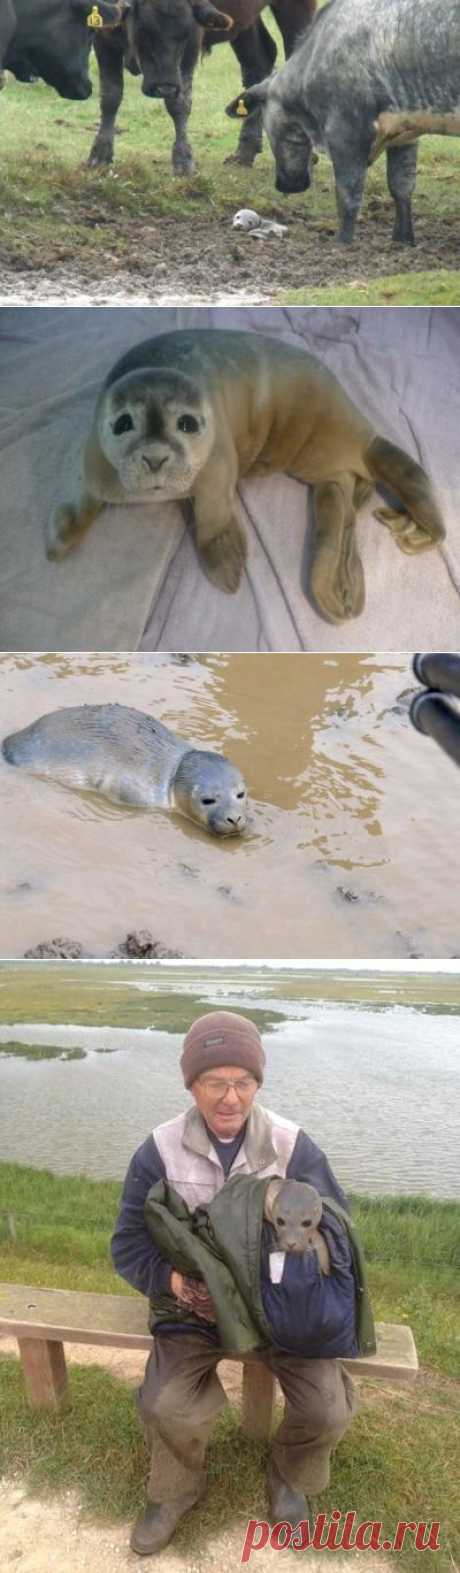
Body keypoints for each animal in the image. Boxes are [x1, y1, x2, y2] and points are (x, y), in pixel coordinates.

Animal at [88, 0, 315, 175]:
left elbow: (180, 104)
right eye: (144, 31)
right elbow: (110, 97)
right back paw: (244, 153)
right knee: (258, 63)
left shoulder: (193, 43)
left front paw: (183, 161)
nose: (165, 89)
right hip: (246, 23)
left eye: (184, 34)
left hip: (296, 9)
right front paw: (99, 156)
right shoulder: (103, 37)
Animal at [225, 0, 460, 243]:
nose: (284, 184)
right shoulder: (405, 131)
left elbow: (348, 194)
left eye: (265, 121)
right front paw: (402, 239)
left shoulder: (346, 133)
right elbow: (401, 186)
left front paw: (343, 242)